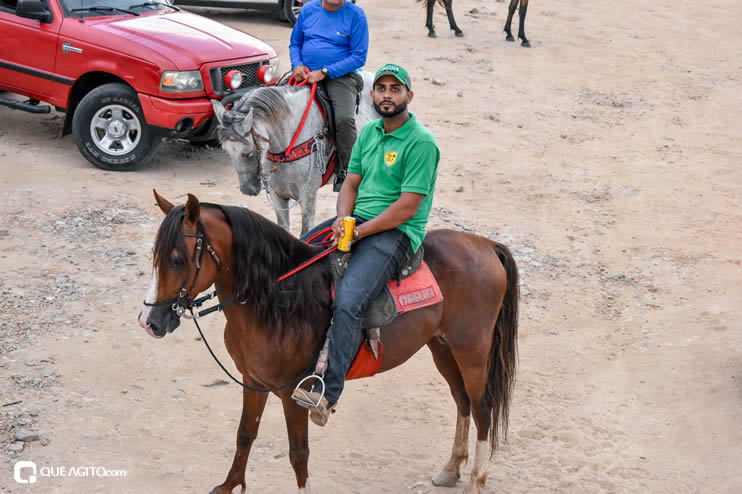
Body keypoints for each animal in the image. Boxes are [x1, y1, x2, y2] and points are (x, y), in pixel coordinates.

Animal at [138, 190, 516, 494]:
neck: (277, 299)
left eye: (177, 259)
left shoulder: (292, 393)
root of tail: (486, 245)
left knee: (482, 408)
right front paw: (228, 485)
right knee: (461, 401)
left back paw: (476, 481)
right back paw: (451, 469)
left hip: (472, 350)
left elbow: (298, 454)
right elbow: (245, 434)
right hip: (442, 346)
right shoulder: (253, 381)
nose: (150, 322)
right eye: (156, 255)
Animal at [214, 71, 378, 237]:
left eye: (247, 153)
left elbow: (305, 232)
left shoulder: (308, 196)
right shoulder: (277, 195)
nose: (247, 190)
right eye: (226, 151)